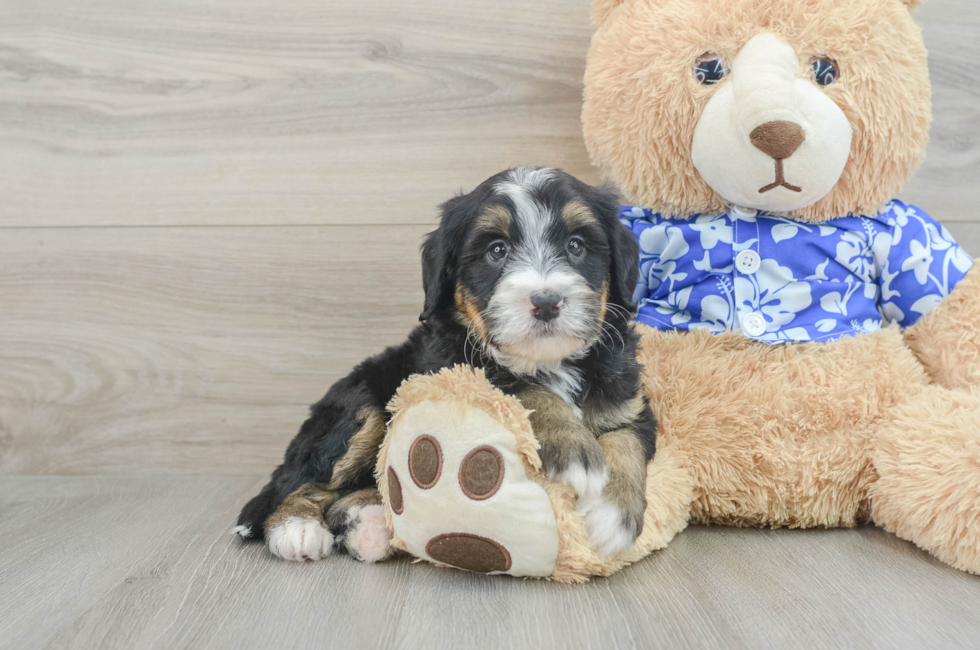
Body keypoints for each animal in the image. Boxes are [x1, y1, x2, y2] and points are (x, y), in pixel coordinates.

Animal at [234, 165, 656, 560]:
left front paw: (614, 515)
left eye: (576, 245)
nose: (546, 301)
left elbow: (625, 441)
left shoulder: (630, 404)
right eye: (496, 250)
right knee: (301, 483)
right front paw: (574, 450)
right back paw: (297, 528)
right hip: (359, 406)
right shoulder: (452, 371)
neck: (547, 362)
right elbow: (521, 388)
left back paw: (367, 524)